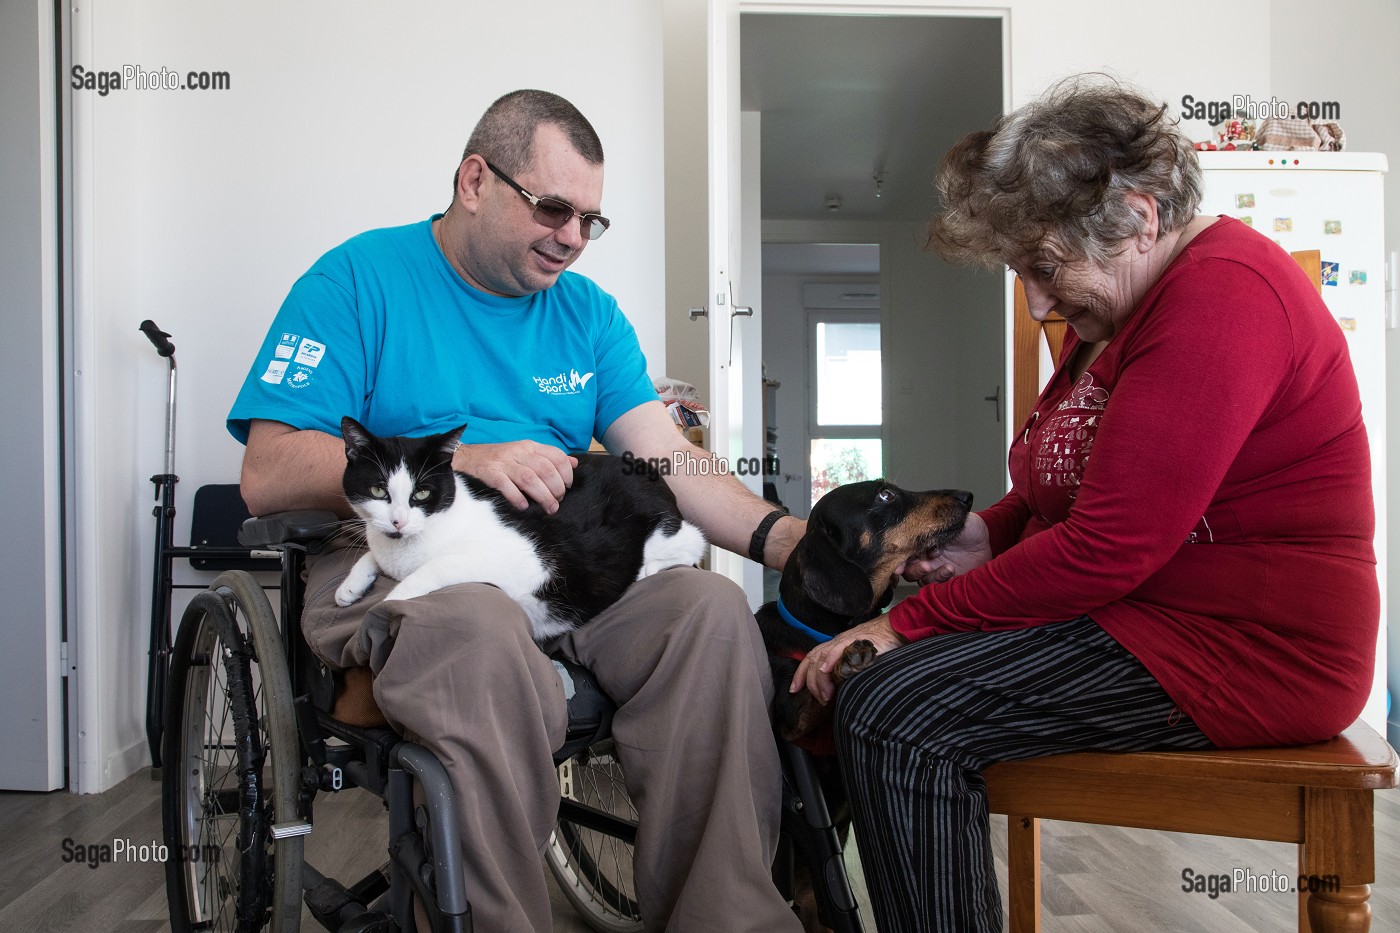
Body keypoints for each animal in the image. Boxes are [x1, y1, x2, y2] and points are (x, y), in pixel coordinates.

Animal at [333, 414, 705, 638]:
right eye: (378, 491)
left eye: (421, 493)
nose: (398, 520)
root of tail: (644, 467)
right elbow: (369, 555)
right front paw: (350, 586)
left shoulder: (528, 559)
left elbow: (432, 569)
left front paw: (386, 601)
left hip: (663, 531)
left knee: (693, 542)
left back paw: (646, 570)